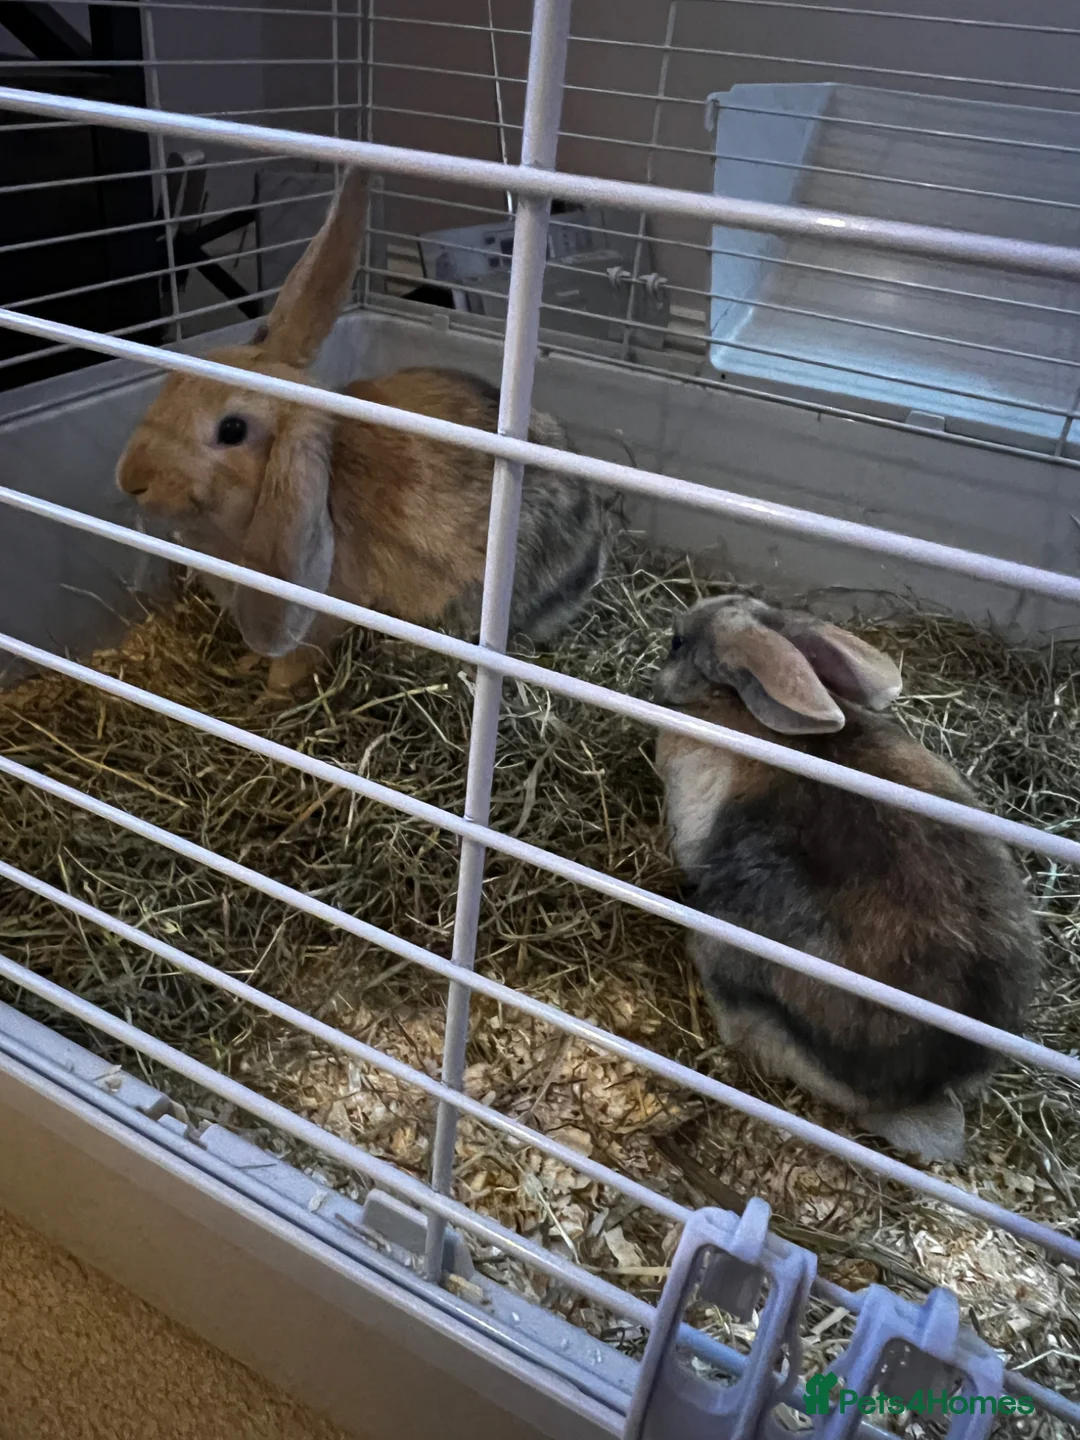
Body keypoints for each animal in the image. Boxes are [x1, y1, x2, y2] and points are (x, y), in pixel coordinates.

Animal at [116, 168, 608, 695]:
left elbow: (296, 658)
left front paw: (272, 694)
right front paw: (247, 666)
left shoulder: (323, 612)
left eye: (231, 429)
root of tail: (594, 552)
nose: (131, 480)